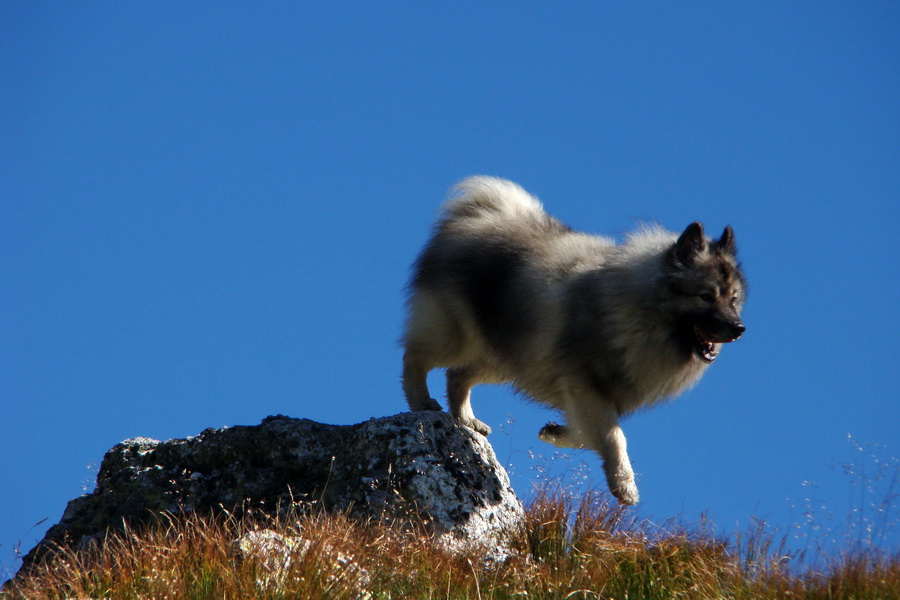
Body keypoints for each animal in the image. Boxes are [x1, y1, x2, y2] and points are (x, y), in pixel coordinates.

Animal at [402, 176, 744, 504]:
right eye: (706, 296)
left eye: (733, 298)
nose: (739, 328)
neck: (636, 309)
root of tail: (479, 215)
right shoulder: (584, 385)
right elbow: (614, 436)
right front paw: (624, 484)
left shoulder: (590, 394)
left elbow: (588, 433)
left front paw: (555, 432)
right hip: (457, 338)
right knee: (415, 359)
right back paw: (421, 401)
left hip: (507, 358)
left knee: (457, 375)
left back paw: (466, 419)